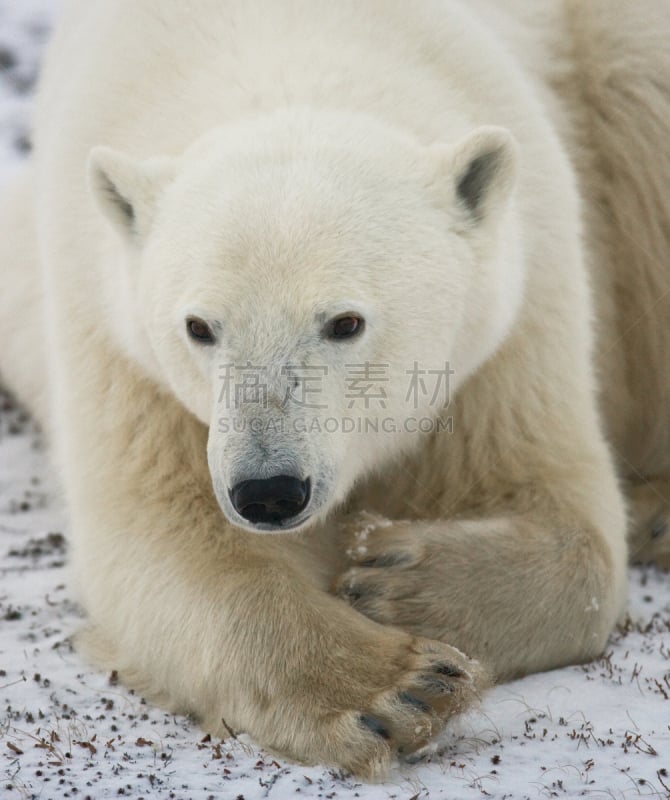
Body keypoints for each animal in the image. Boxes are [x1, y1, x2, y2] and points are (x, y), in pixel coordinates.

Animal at [1, 0, 670, 780]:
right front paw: (396, 689)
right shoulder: (117, 343)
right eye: (199, 326)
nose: (268, 491)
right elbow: (163, 538)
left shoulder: (509, 322)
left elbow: (560, 513)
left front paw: (393, 578)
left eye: (345, 322)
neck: (291, 43)